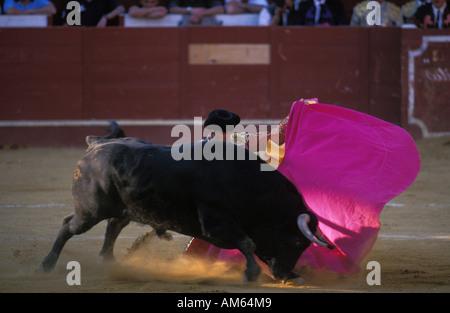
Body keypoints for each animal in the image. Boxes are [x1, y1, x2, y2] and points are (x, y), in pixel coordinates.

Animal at [39, 123, 334, 282]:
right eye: (296, 242)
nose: (286, 274)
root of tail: (96, 144)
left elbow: (249, 243)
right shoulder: (214, 221)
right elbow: (247, 243)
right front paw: (250, 274)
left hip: (126, 208)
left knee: (113, 226)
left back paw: (109, 262)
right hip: (90, 210)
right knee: (69, 225)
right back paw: (47, 264)